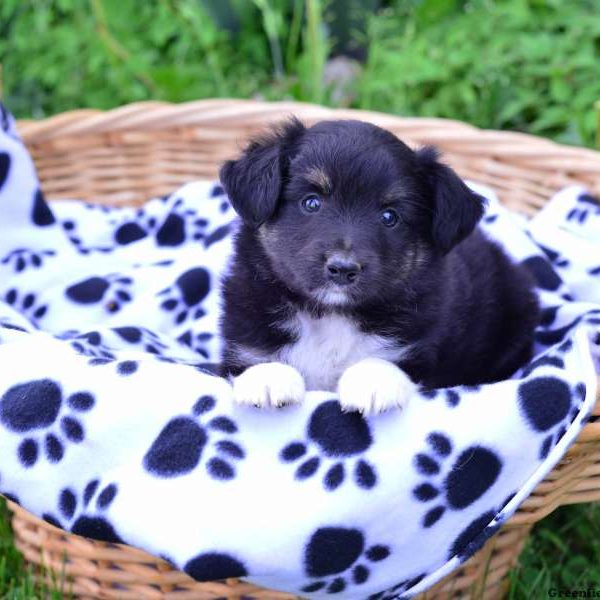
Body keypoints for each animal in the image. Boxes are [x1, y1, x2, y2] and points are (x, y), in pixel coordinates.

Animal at [218, 119, 540, 414]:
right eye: (311, 203)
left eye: (389, 217)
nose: (343, 269)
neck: (332, 316)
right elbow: (257, 356)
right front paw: (268, 378)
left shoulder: (416, 348)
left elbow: (385, 360)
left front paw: (372, 383)